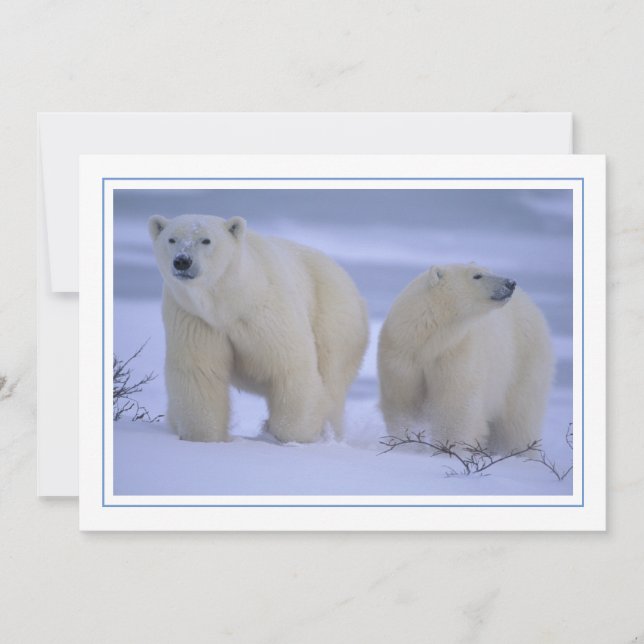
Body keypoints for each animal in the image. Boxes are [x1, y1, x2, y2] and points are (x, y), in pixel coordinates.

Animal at [148, 213, 369, 444]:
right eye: (172, 239)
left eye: (206, 240)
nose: (182, 261)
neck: (230, 303)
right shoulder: (195, 318)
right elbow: (200, 372)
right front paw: (203, 437)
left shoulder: (266, 313)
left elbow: (290, 367)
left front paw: (292, 435)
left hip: (333, 319)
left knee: (331, 380)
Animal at [377, 263, 554, 453]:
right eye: (477, 275)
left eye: (489, 271)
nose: (511, 283)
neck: (429, 342)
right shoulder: (403, 358)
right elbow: (403, 405)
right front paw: (407, 448)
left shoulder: (457, 352)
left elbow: (455, 407)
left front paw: (448, 450)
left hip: (523, 362)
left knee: (518, 419)